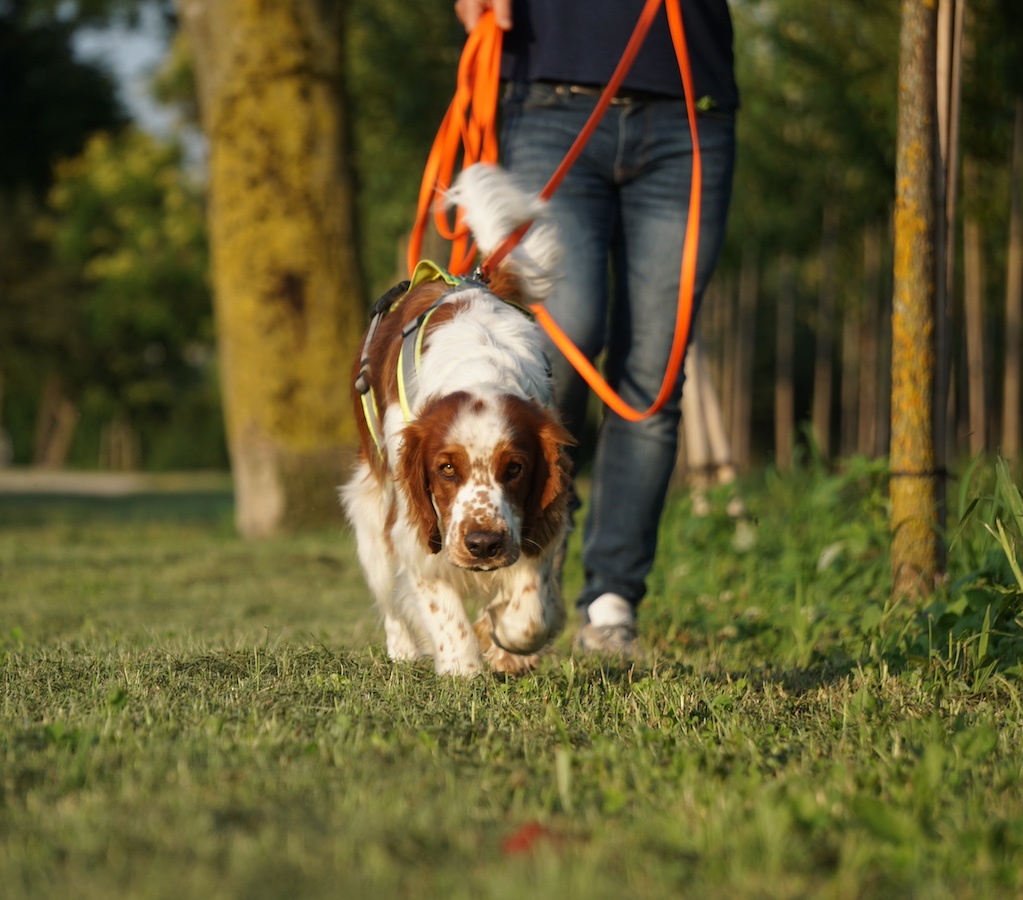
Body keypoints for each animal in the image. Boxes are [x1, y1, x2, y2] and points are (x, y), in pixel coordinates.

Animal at [339, 163, 572, 675]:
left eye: (516, 468)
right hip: (370, 506)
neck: (479, 365)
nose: (483, 543)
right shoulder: (413, 526)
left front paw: (504, 639)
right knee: (388, 596)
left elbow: (531, 610)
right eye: (446, 468)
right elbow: (443, 615)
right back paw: (403, 651)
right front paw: (464, 667)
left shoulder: (538, 514)